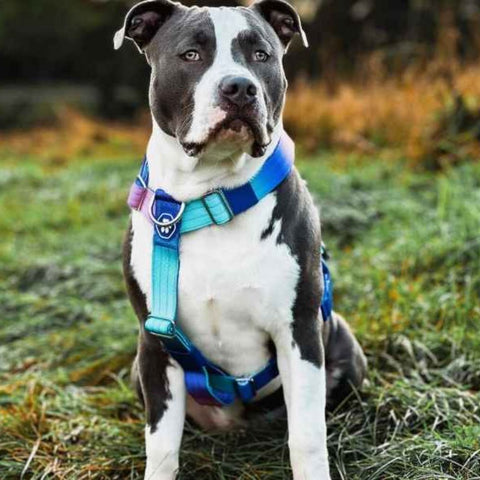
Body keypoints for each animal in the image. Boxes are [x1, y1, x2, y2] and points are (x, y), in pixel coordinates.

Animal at [113, 1, 368, 478]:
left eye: (261, 55)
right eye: (191, 55)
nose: (239, 87)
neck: (211, 198)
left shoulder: (298, 332)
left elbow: (307, 436)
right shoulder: (154, 345)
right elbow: (161, 445)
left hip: (339, 340)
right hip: (138, 369)